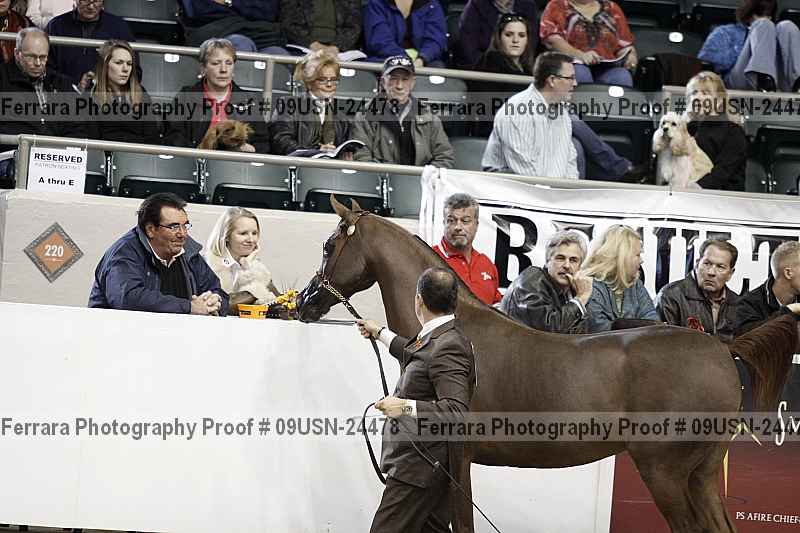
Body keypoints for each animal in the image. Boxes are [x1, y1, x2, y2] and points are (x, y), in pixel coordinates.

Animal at [296, 197, 798, 533]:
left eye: (328, 244)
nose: (303, 302)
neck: (455, 326)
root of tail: (722, 349)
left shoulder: (459, 459)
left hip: (666, 472)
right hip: (703, 474)